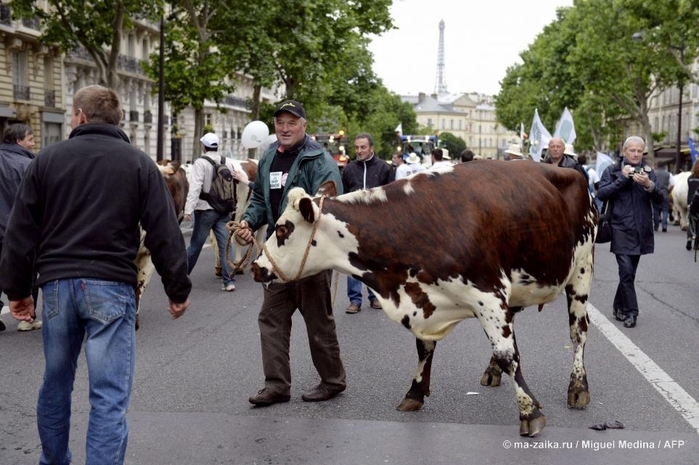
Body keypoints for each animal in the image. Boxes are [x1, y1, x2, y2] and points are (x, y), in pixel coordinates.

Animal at [250, 160, 596, 436]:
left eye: (283, 230)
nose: (257, 267)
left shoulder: (488, 293)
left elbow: (508, 355)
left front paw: (529, 411)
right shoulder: (426, 299)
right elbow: (425, 348)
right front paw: (415, 392)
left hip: (581, 271)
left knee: (578, 333)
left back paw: (578, 387)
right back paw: (492, 374)